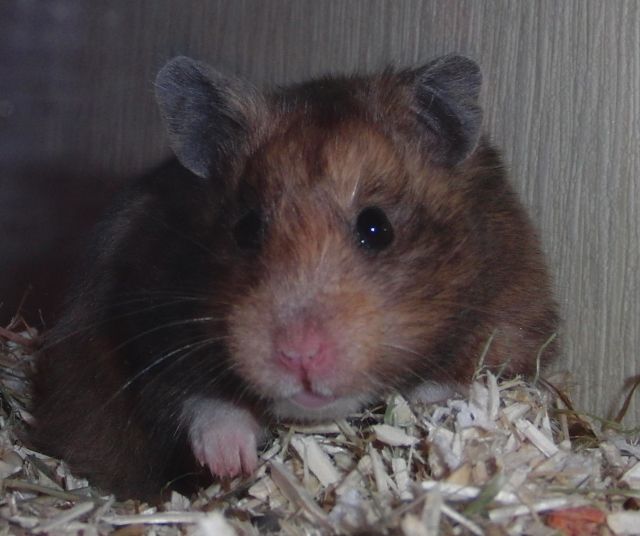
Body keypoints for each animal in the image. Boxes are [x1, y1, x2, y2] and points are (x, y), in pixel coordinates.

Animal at [30, 55, 558, 500]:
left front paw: (426, 410)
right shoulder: (145, 324)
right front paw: (232, 465)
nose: (299, 357)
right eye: (245, 229)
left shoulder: (515, 318)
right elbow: (199, 403)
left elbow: (460, 379)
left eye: (377, 228)